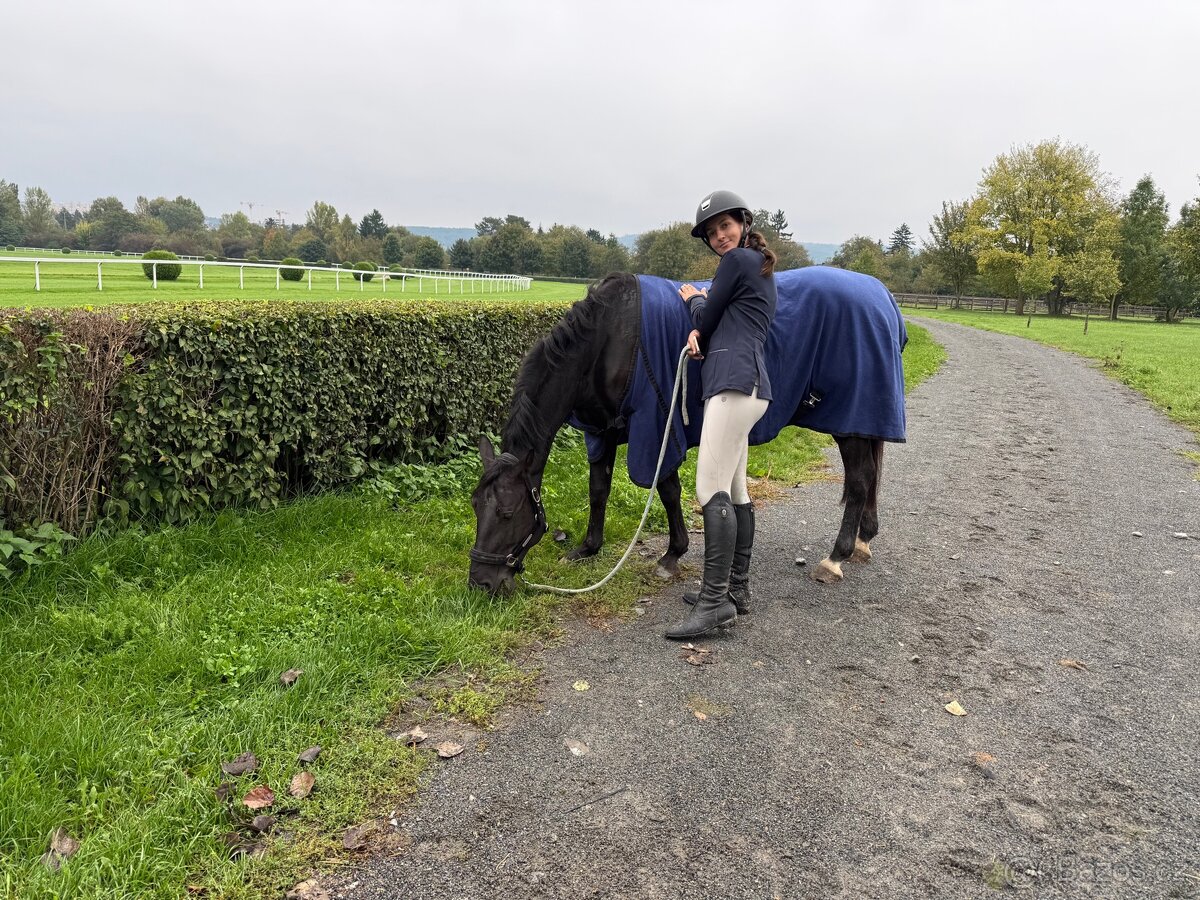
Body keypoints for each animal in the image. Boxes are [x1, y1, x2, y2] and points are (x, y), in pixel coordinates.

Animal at [468, 265, 908, 595]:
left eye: (507, 512)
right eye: (475, 506)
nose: (482, 583)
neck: (610, 341)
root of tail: (882, 297)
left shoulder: (656, 427)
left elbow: (666, 489)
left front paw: (672, 554)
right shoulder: (603, 431)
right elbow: (599, 489)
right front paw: (587, 548)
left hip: (851, 423)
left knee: (860, 480)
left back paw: (836, 557)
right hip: (861, 423)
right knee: (869, 477)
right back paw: (864, 539)